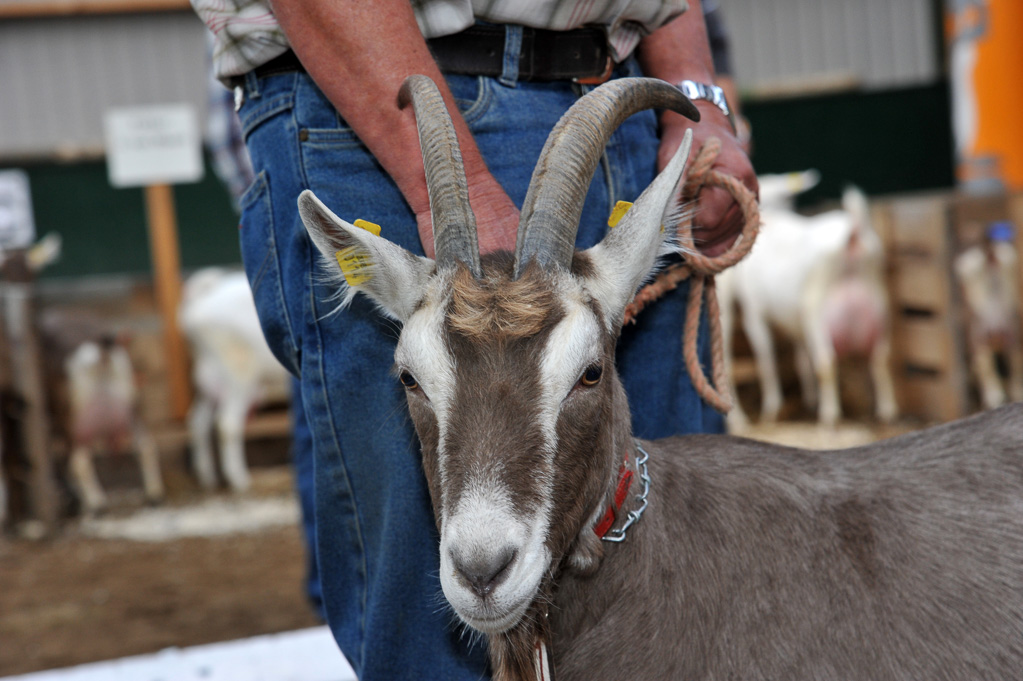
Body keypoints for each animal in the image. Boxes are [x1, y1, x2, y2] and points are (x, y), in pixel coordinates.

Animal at [180, 267, 290, 490]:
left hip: (210, 378)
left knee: (198, 421)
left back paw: (207, 477)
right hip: (238, 375)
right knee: (227, 424)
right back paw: (238, 479)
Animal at [716, 179, 900, 425]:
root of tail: (854, 232)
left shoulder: (755, 311)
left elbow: (767, 360)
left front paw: (773, 407)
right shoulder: (795, 322)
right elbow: (801, 358)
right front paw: (808, 398)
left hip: (818, 313)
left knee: (826, 362)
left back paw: (830, 415)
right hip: (879, 308)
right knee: (881, 359)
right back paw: (886, 411)